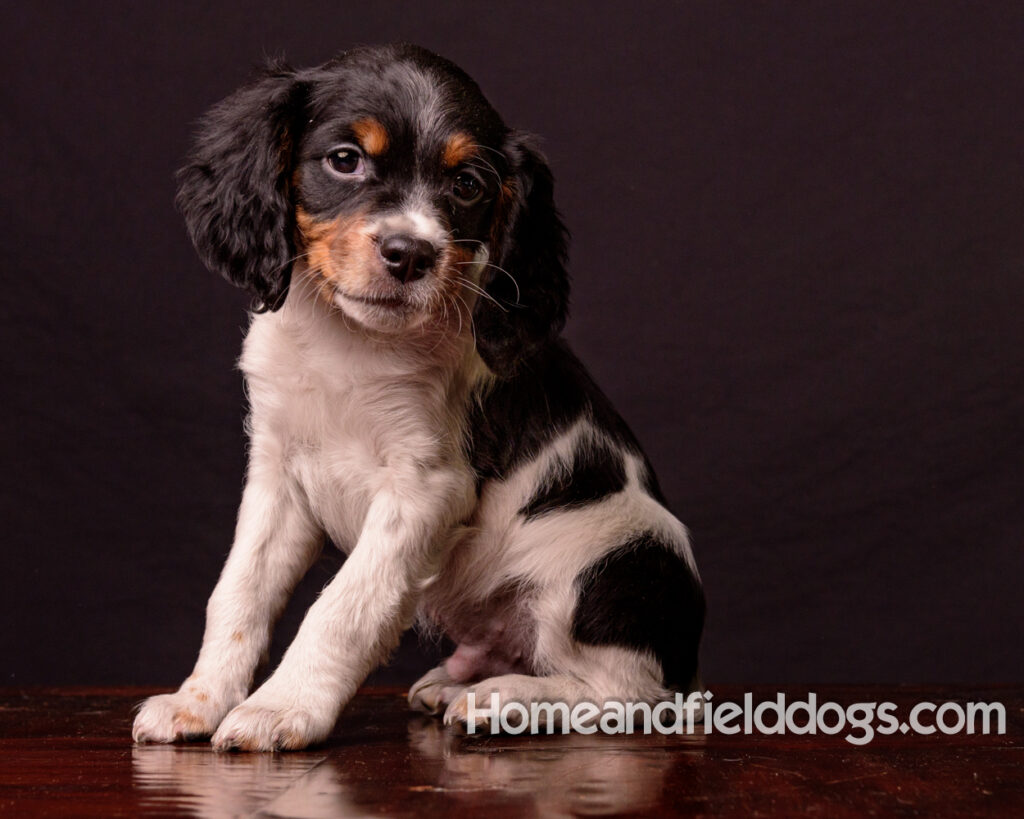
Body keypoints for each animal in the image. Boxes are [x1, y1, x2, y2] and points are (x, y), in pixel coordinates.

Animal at [132, 43, 704, 749]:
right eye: (344, 159)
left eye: (467, 186)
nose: (410, 253)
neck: (348, 342)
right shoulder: (277, 473)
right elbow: (238, 592)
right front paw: (199, 698)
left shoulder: (424, 488)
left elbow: (341, 607)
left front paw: (281, 707)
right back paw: (458, 683)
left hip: (606, 560)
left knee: (626, 693)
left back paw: (506, 700)